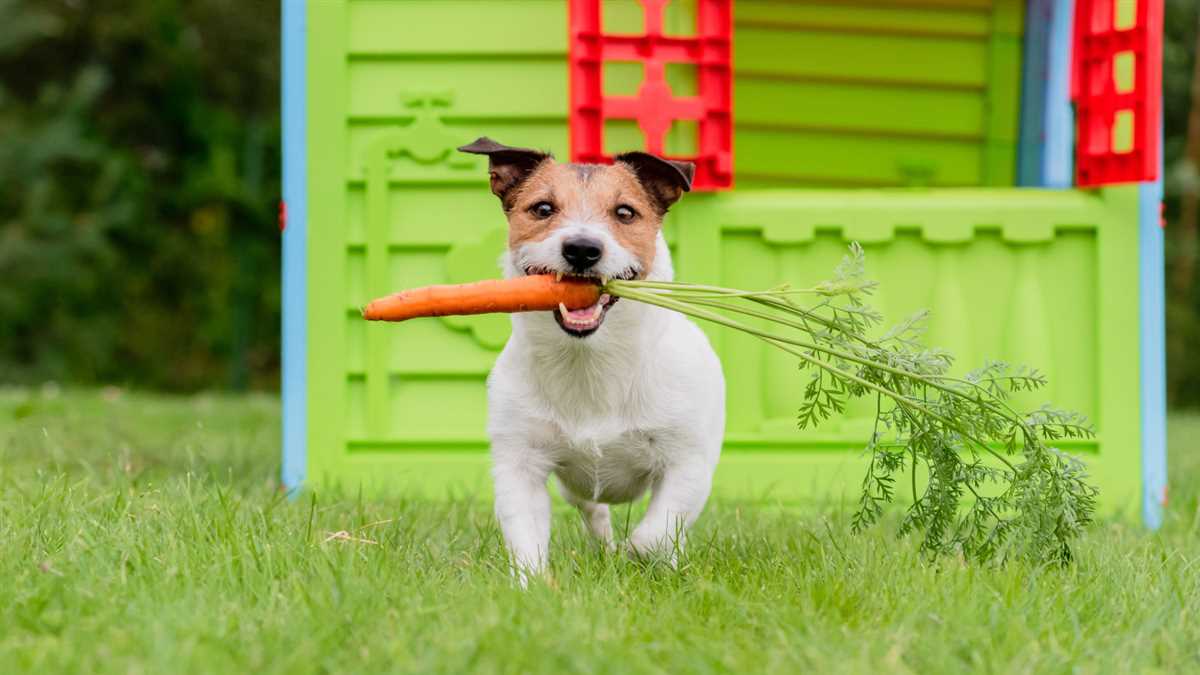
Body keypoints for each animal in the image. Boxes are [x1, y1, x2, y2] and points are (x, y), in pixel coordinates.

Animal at [456, 138, 720, 578]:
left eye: (625, 212)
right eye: (543, 208)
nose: (582, 249)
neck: (591, 361)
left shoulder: (688, 463)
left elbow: (655, 534)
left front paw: (640, 556)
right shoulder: (520, 463)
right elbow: (524, 536)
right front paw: (532, 584)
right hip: (573, 486)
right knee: (594, 512)